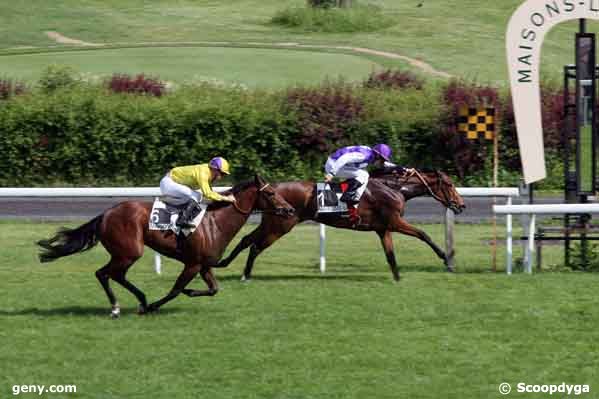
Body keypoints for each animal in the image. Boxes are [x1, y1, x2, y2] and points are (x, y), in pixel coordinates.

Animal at [36, 176, 294, 318]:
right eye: (272, 193)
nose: (290, 209)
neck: (216, 222)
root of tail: (106, 214)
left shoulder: (204, 265)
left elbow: (213, 289)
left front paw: (189, 292)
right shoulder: (192, 264)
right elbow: (175, 290)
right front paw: (153, 306)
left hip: (125, 254)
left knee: (114, 275)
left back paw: (138, 300)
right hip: (129, 252)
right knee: (104, 273)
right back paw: (119, 307)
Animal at [218, 169, 466, 282]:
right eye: (449, 184)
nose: (461, 205)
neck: (395, 188)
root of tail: (272, 189)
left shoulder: (383, 229)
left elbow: (390, 255)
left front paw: (397, 277)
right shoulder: (395, 221)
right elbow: (423, 234)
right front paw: (446, 258)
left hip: (272, 222)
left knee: (246, 240)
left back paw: (223, 263)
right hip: (280, 226)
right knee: (255, 246)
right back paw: (245, 275)